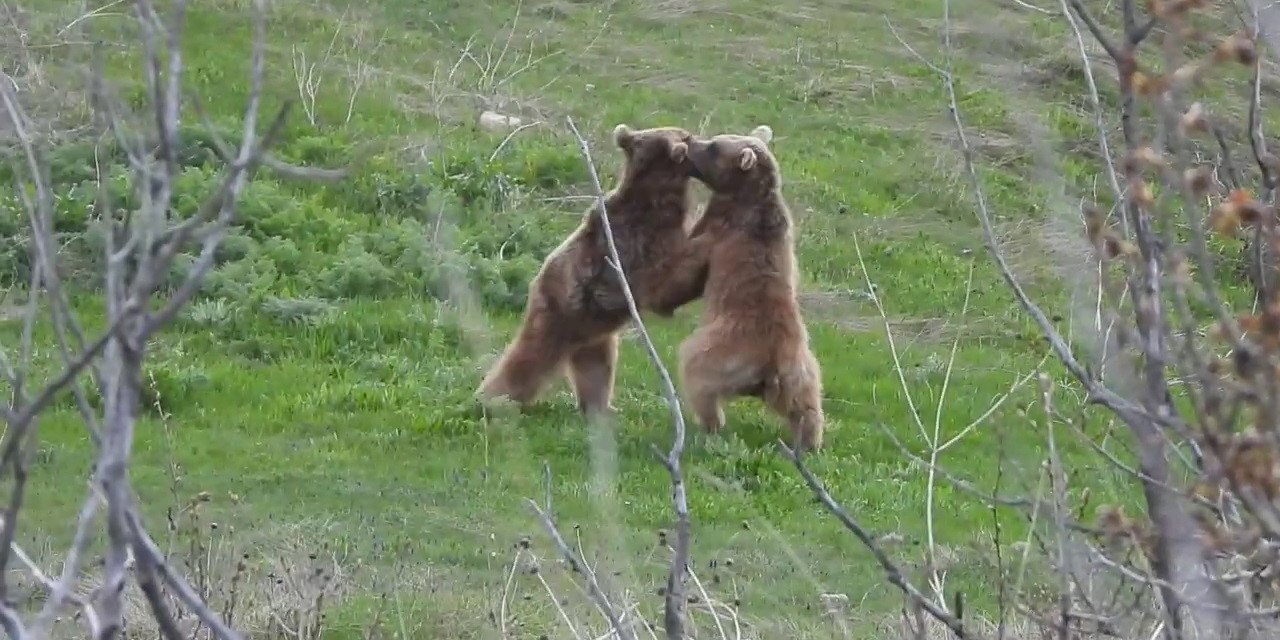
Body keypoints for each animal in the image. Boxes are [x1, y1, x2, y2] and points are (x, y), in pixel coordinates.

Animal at [476, 124, 706, 417]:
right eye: (687, 135)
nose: (699, 139)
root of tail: (536, 282)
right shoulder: (640, 244)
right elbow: (670, 273)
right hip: (559, 312)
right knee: (529, 356)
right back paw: (492, 398)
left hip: (595, 333)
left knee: (597, 370)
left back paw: (601, 408)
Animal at [675, 124, 824, 453]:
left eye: (714, 147)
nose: (690, 141)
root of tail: (772, 363)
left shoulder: (719, 231)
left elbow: (691, 252)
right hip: (802, 372)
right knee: (808, 405)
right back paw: (810, 441)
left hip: (722, 351)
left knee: (697, 373)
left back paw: (709, 424)